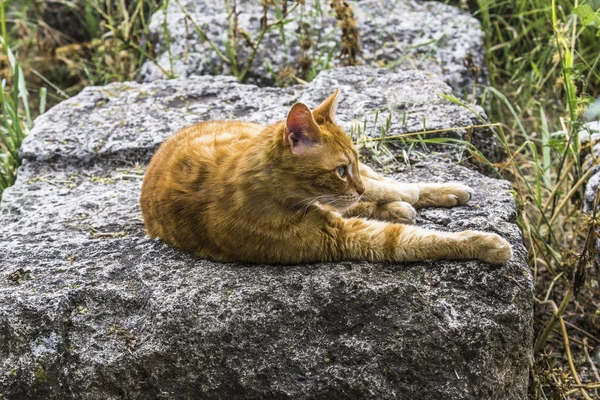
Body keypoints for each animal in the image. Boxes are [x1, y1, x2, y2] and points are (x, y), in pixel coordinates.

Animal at [141, 91, 510, 266]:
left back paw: (436, 191)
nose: (356, 185)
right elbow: (419, 240)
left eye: (353, 164)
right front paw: (486, 244)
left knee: (386, 184)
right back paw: (399, 205)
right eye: (340, 170)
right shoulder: (341, 236)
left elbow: (385, 193)